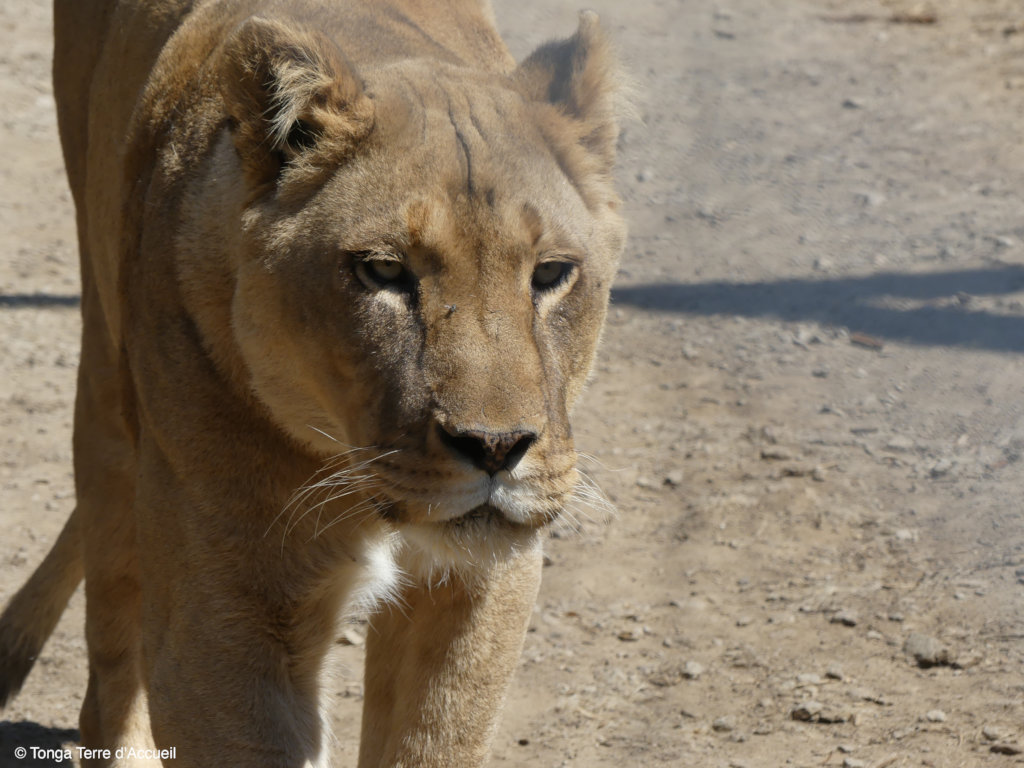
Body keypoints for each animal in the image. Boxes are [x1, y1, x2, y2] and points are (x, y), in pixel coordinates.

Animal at [0, 1, 626, 766]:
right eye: (382, 271)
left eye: (551, 273)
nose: (496, 448)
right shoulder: (230, 615)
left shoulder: (479, 586)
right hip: (104, 374)